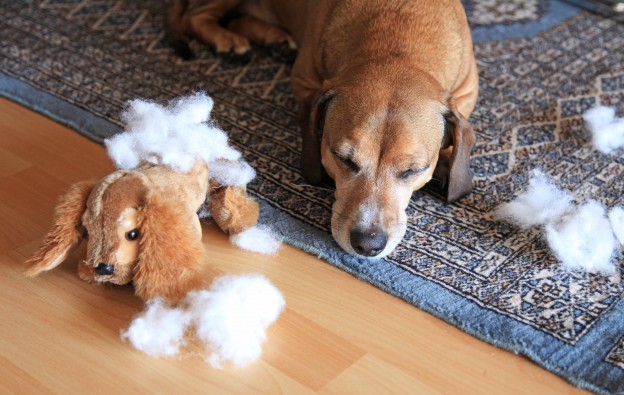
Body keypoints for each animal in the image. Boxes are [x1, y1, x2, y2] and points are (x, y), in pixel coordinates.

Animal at [166, 0, 478, 258]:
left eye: (413, 170)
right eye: (343, 158)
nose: (368, 244)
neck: (397, 46)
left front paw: (447, 163)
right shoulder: (304, 83)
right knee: (196, 16)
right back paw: (227, 41)